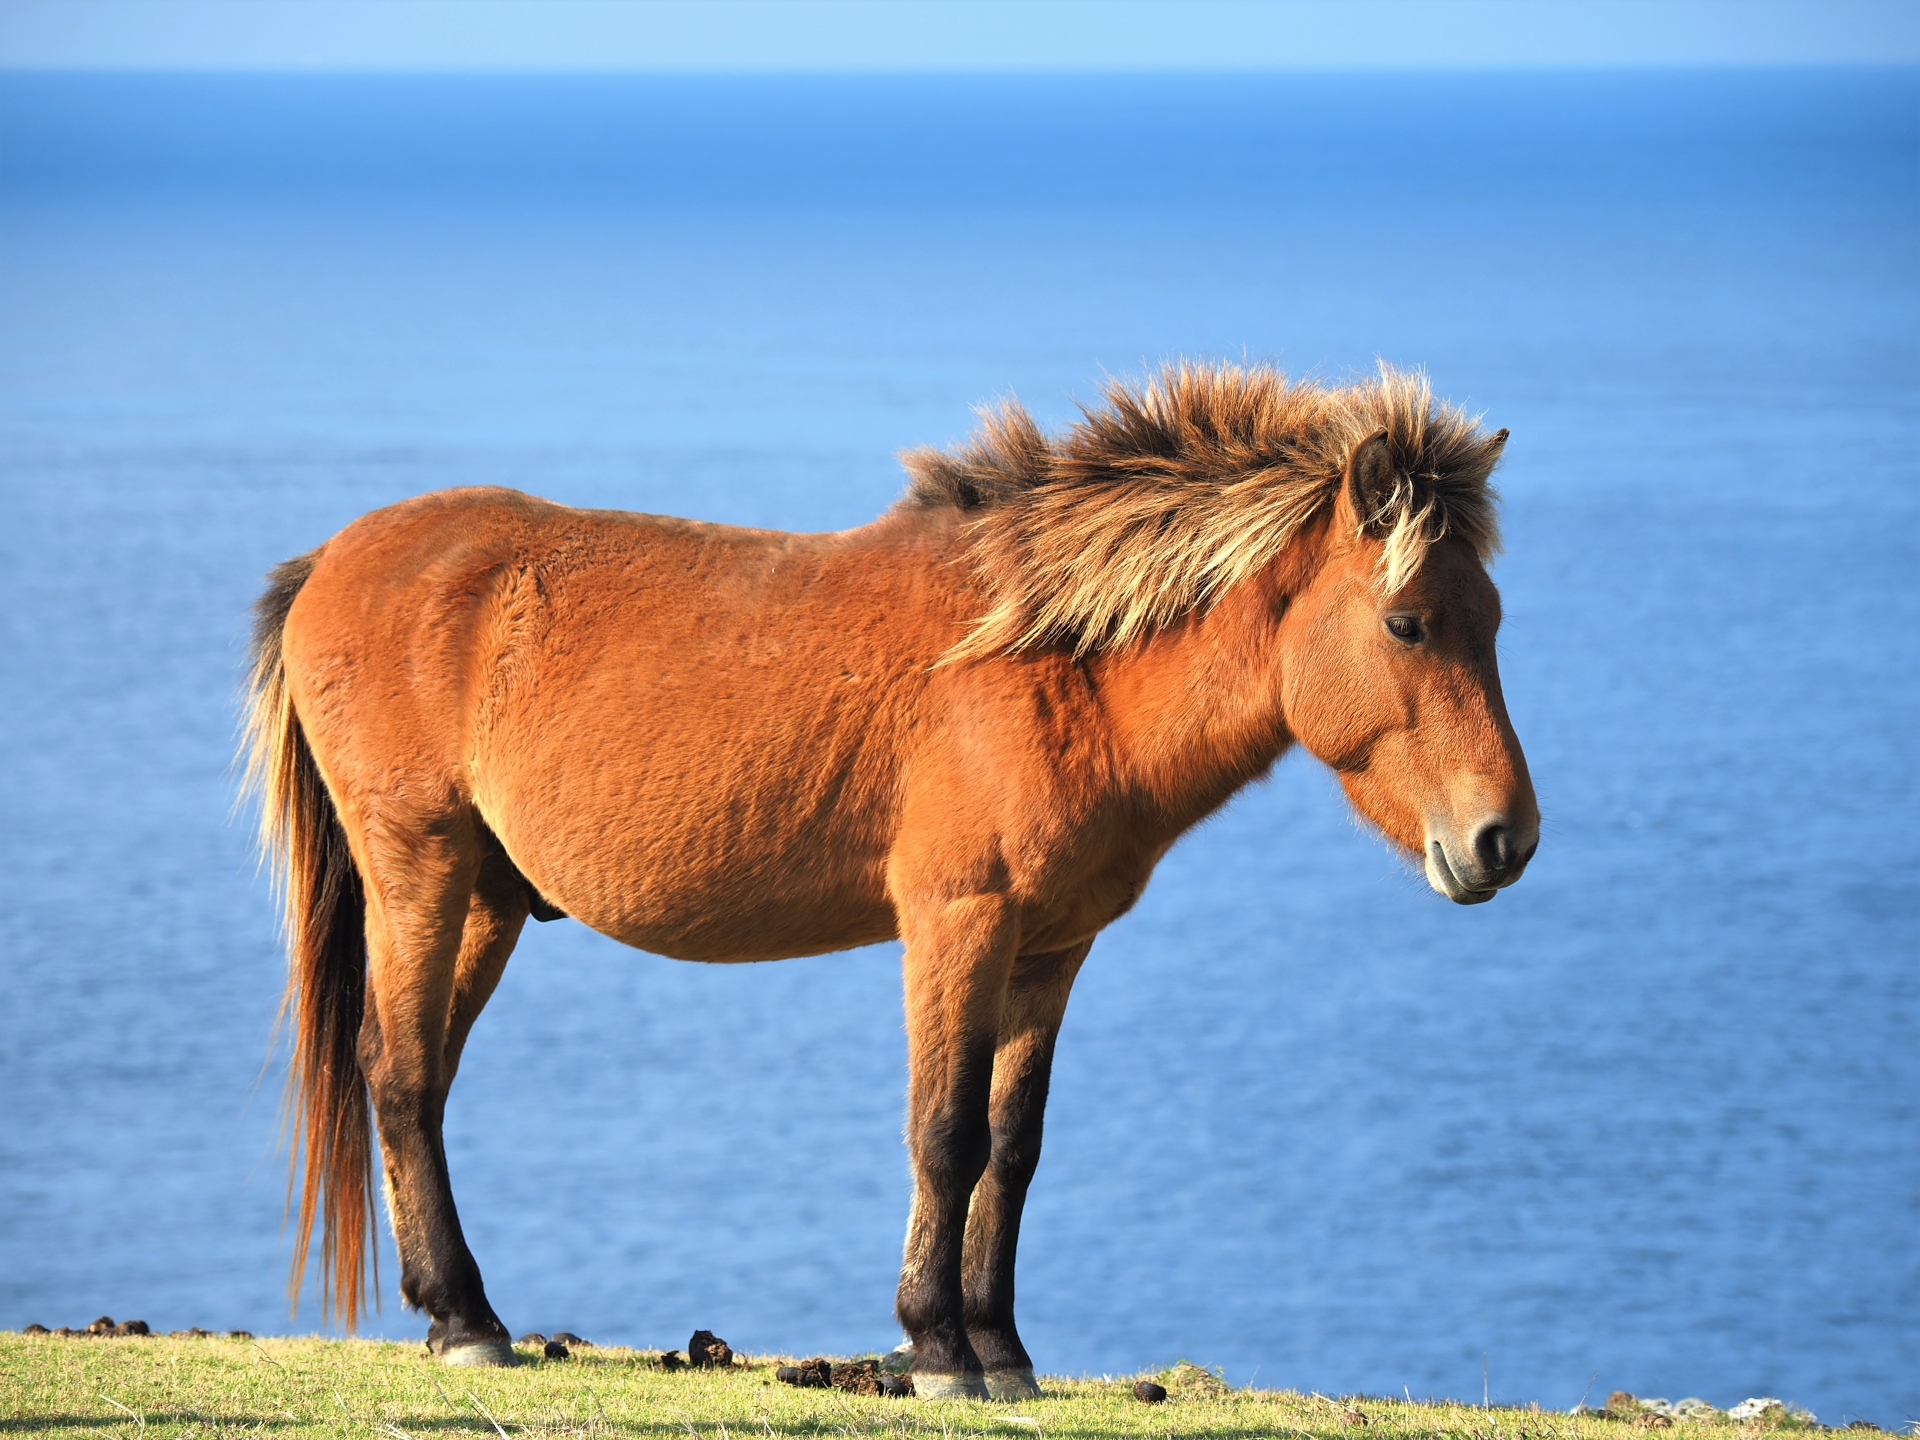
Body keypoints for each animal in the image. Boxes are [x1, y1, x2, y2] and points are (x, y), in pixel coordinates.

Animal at [242, 361, 1537, 1396]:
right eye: (1409, 623)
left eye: (1493, 616)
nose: (1504, 840)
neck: (1053, 667)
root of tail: (334, 560)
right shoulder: (958, 923)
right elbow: (945, 1134)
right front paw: (938, 1349)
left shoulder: (1051, 950)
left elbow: (1014, 1144)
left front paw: (1003, 1350)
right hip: (420, 864)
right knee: (400, 1073)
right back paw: (466, 1321)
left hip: (491, 900)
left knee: (415, 1077)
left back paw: (458, 1310)